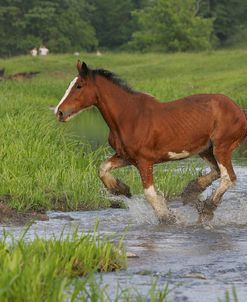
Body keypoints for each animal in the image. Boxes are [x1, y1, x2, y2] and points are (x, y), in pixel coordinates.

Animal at [54, 61, 247, 223]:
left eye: (79, 86)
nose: (59, 112)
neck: (129, 117)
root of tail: (239, 110)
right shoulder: (126, 157)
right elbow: (102, 169)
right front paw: (121, 189)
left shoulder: (144, 161)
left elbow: (149, 194)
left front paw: (168, 217)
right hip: (205, 149)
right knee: (216, 171)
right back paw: (191, 192)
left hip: (222, 147)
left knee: (228, 177)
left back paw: (206, 209)